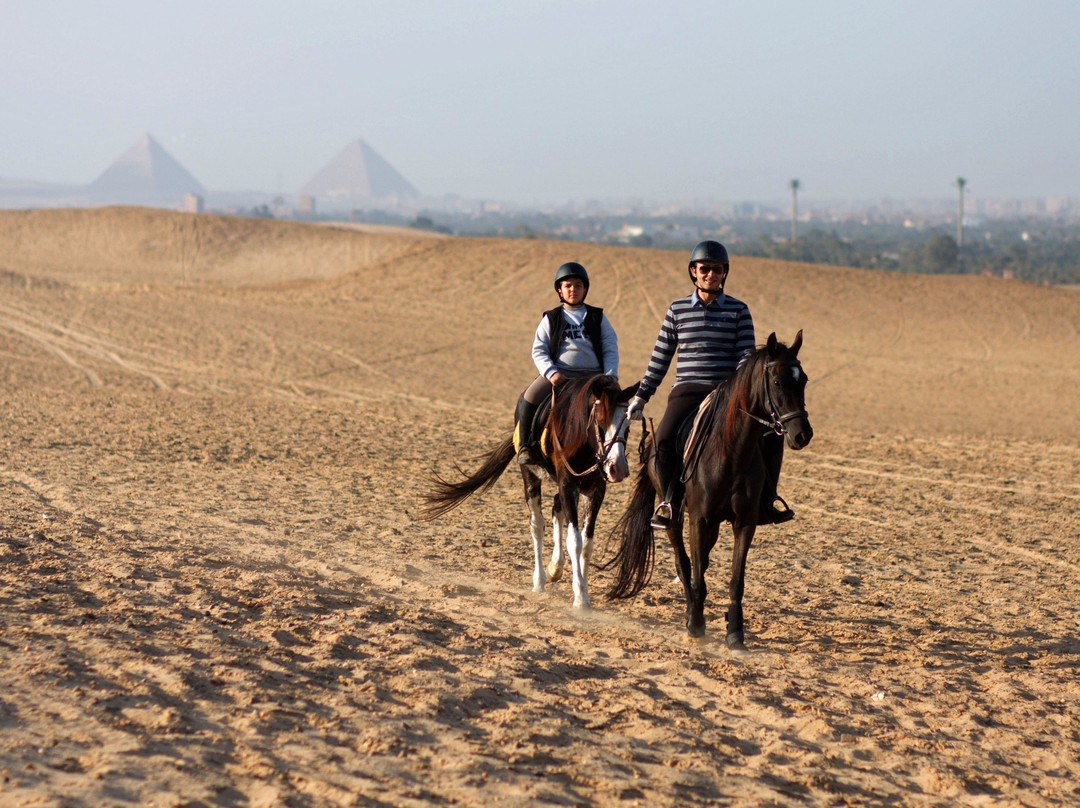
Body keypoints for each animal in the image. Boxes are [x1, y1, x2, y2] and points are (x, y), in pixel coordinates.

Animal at [423, 374, 639, 610]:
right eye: (600, 422)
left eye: (628, 425)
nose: (618, 468)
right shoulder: (567, 485)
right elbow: (574, 540)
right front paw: (580, 596)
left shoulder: (596, 490)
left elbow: (587, 542)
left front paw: (583, 589)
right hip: (530, 477)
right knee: (537, 524)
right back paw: (540, 581)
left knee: (556, 509)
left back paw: (555, 567)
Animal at [606, 332, 812, 649]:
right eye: (777, 381)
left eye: (803, 380)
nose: (803, 434)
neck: (731, 451)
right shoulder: (698, 520)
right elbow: (695, 572)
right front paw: (696, 624)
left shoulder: (745, 522)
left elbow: (736, 580)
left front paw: (735, 632)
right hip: (675, 518)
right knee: (683, 562)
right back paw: (692, 614)